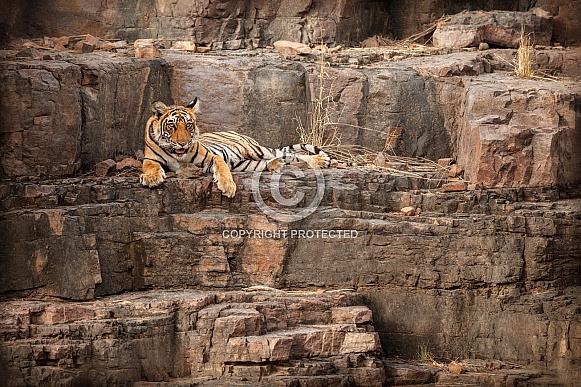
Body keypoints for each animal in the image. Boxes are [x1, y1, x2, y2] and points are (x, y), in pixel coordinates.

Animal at [140, 98, 328, 199]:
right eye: (172, 126)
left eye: (188, 126)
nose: (183, 143)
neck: (178, 155)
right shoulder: (151, 159)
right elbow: (150, 166)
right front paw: (151, 178)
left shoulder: (211, 157)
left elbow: (222, 167)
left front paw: (228, 186)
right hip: (245, 164)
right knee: (274, 160)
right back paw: (276, 165)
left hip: (257, 150)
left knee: (292, 154)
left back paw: (321, 159)